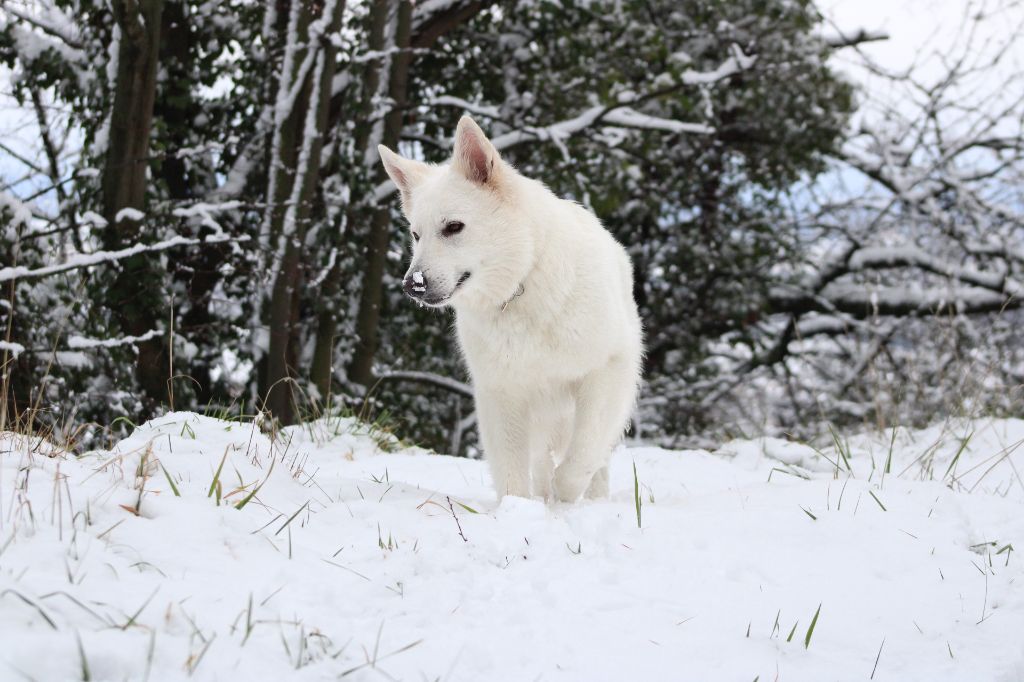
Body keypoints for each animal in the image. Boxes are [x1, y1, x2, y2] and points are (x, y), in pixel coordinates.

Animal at [380, 115, 643, 499]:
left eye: (453, 227)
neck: (522, 283)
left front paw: (565, 496)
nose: (412, 285)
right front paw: (519, 510)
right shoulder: (503, 393)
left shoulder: (606, 370)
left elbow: (582, 454)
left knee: (597, 458)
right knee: (541, 462)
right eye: (416, 234)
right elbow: (511, 473)